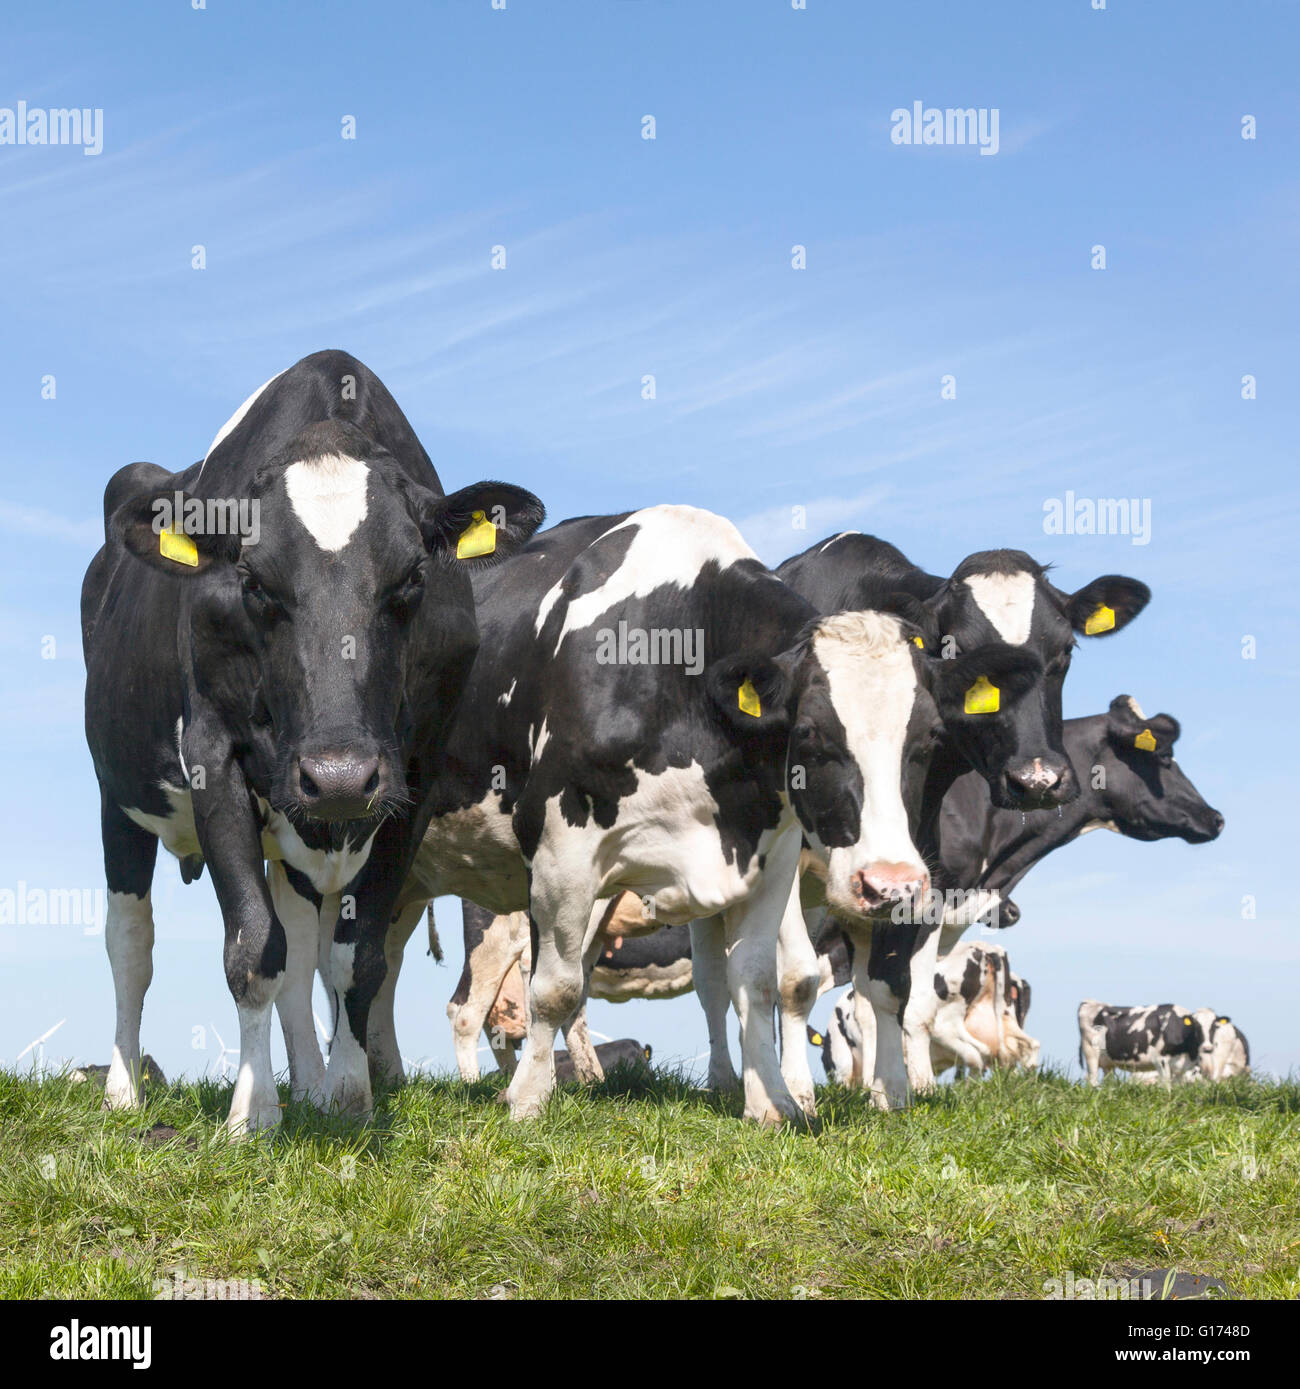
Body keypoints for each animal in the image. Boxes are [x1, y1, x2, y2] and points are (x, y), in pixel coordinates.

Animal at [81, 350, 544, 1134]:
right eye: (253, 581)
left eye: (412, 576)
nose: (338, 775)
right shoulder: (212, 758)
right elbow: (251, 948)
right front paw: (251, 1112)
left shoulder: (412, 777)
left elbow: (352, 958)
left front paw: (348, 1094)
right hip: (119, 795)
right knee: (131, 944)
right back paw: (122, 1089)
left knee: (299, 953)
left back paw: (310, 1083)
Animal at [370, 504, 942, 1124]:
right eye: (811, 734)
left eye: (930, 739)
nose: (892, 885)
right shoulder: (559, 848)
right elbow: (556, 989)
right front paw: (526, 1102)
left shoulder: (771, 855)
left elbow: (757, 981)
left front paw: (771, 1103)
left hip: (409, 876)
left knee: (381, 961)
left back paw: (384, 1076)